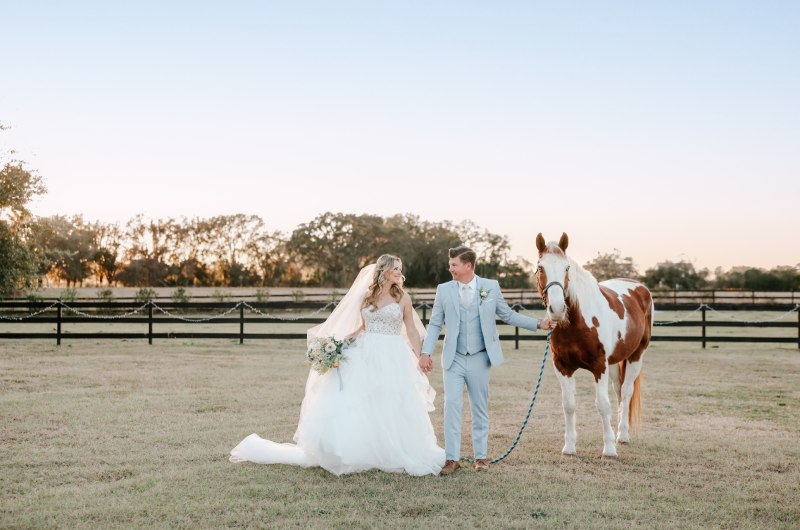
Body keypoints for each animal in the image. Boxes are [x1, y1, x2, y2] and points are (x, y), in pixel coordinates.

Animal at [536, 232, 652, 458]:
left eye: (566, 267)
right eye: (540, 267)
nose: (557, 309)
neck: (577, 323)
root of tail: (639, 288)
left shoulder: (599, 366)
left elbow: (603, 405)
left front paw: (609, 449)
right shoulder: (562, 367)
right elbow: (569, 405)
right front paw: (569, 447)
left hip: (636, 356)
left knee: (626, 392)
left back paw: (622, 436)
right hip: (615, 363)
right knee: (619, 391)